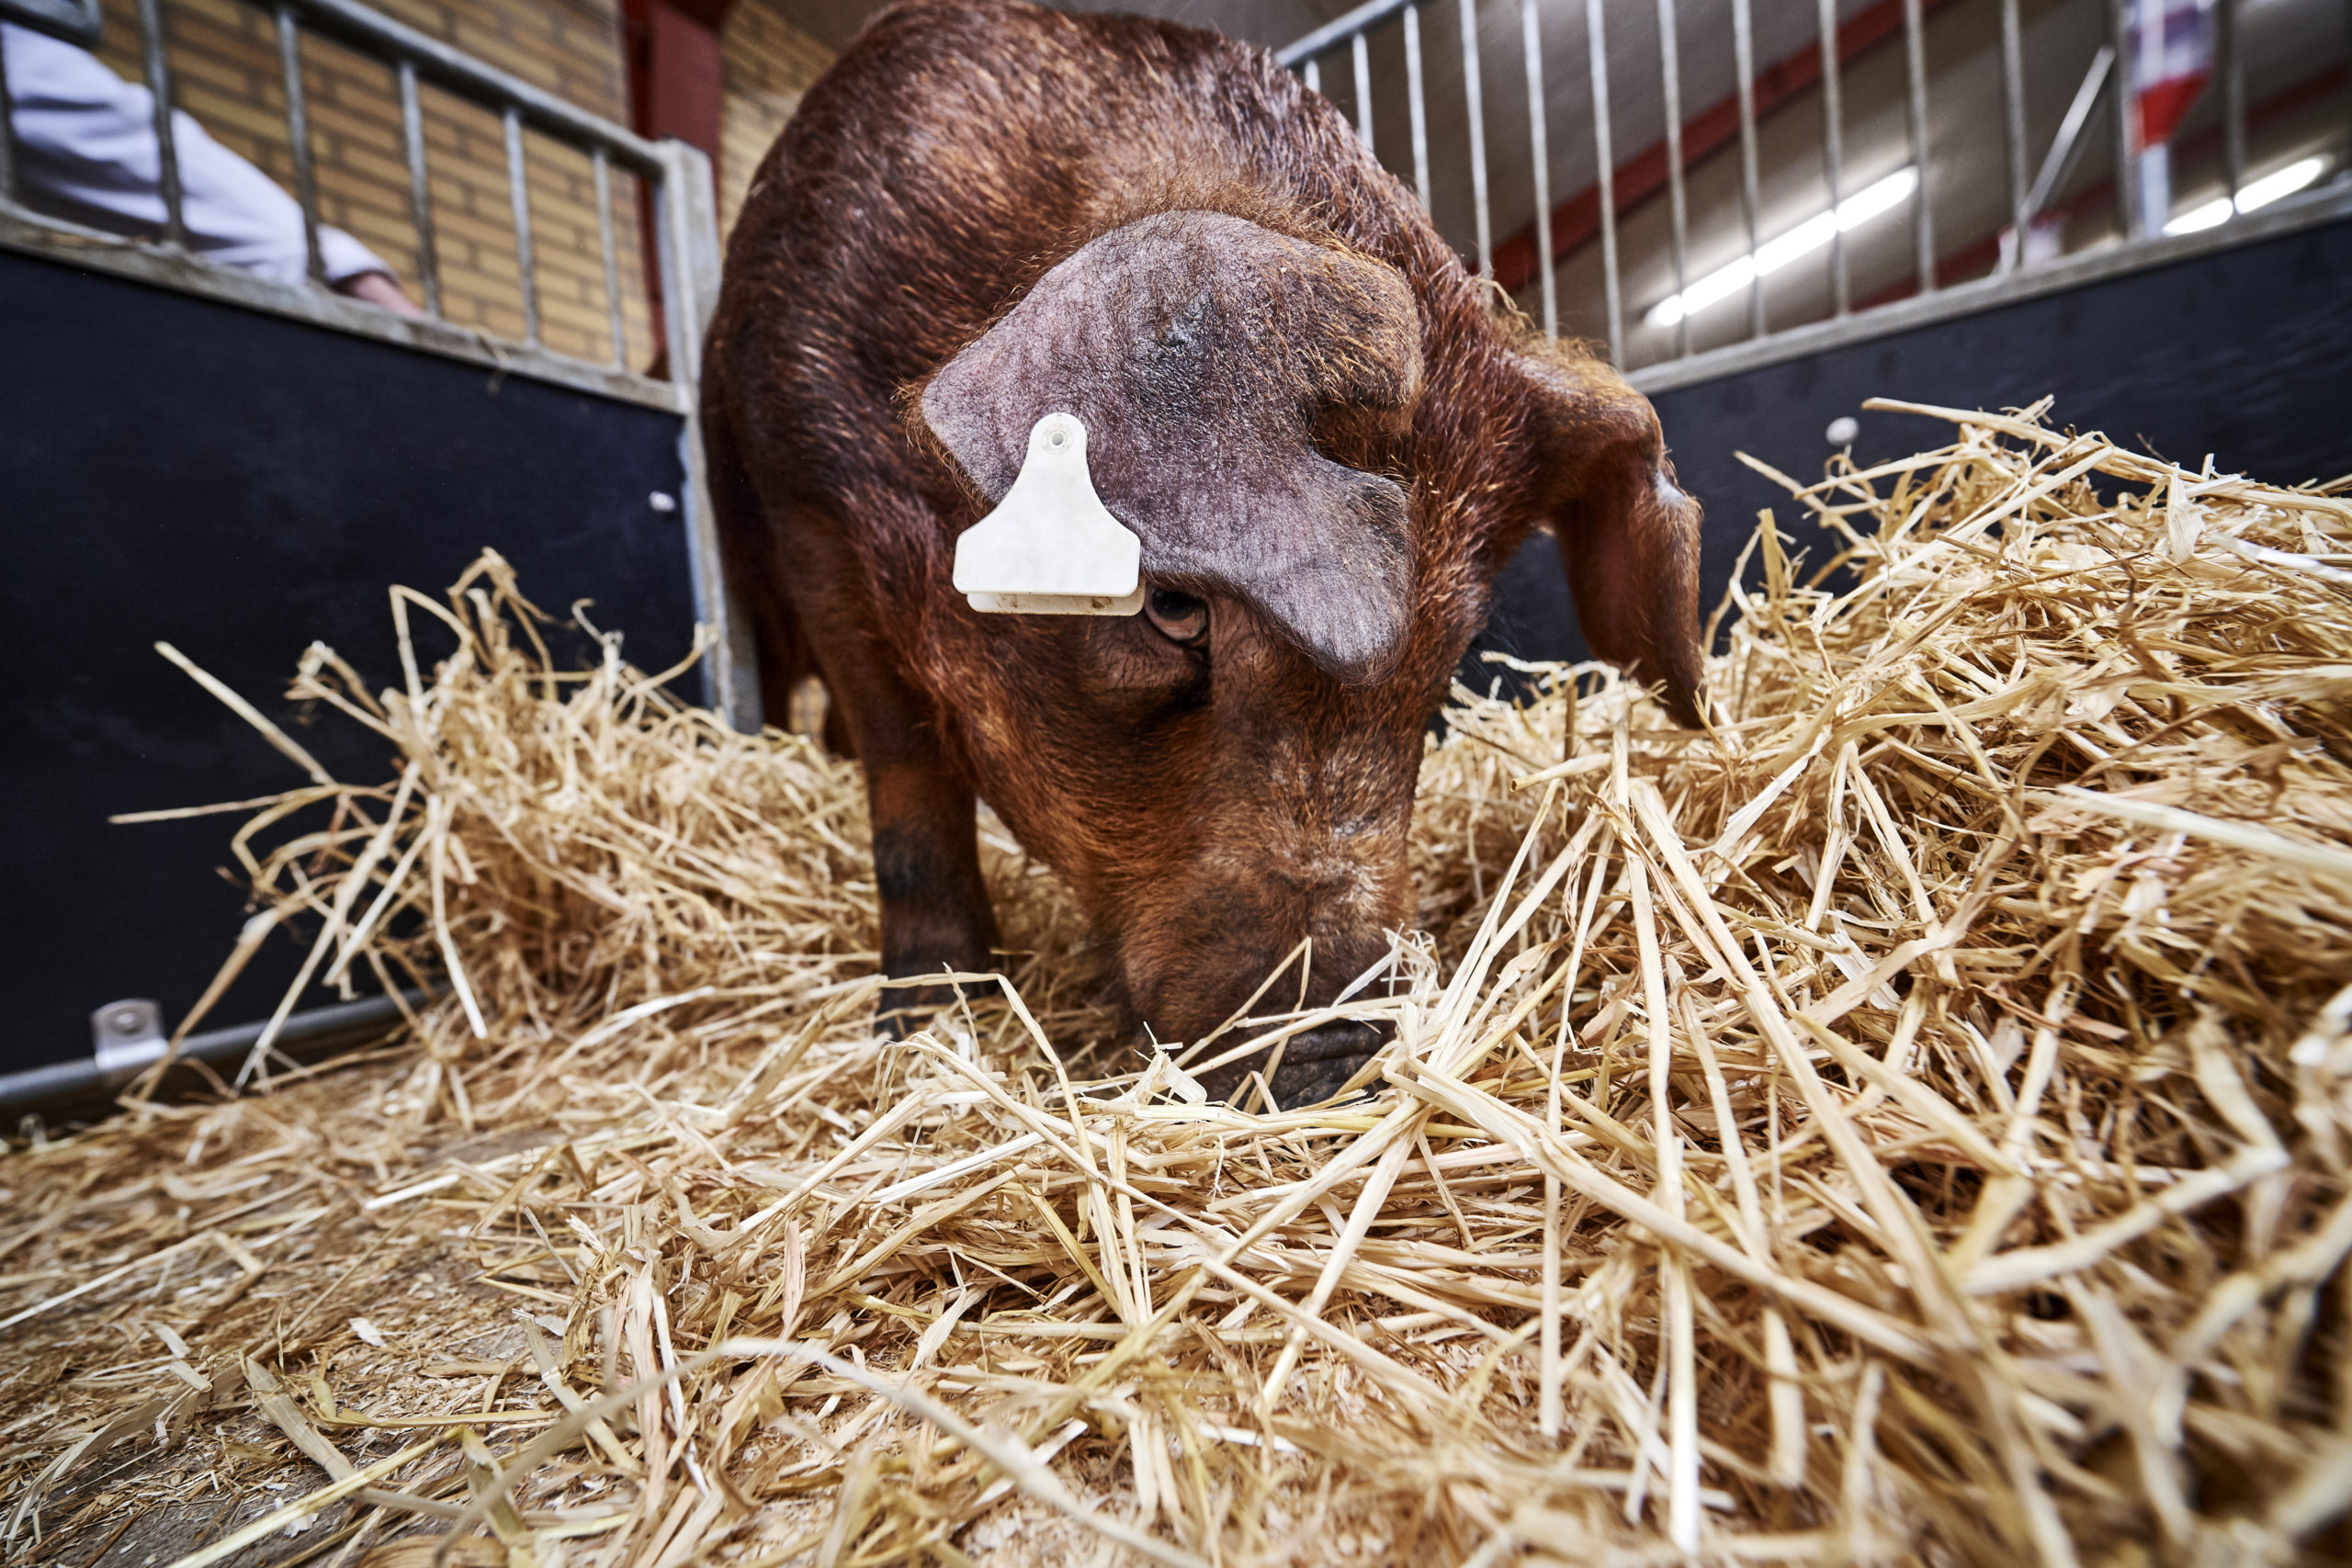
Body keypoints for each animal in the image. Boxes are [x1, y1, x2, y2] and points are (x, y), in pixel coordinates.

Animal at [700, 0, 1705, 1107]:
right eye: (1173, 608)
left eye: (1447, 644)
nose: (1341, 1053)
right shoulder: (808, 507)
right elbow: (907, 772)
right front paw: (922, 1025)